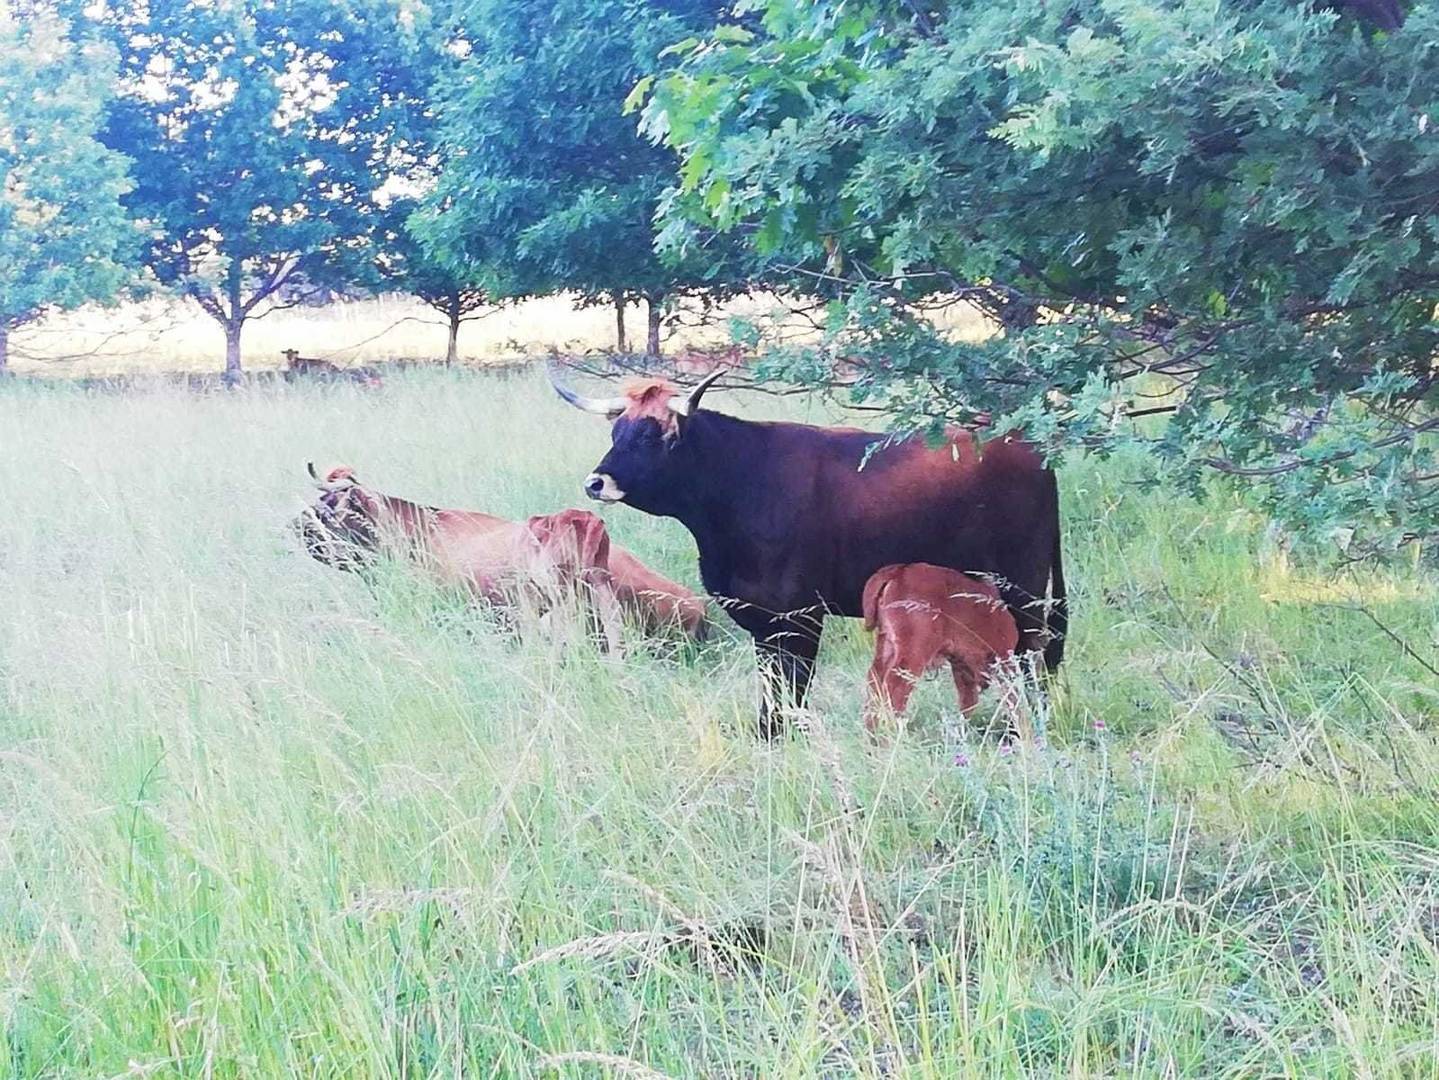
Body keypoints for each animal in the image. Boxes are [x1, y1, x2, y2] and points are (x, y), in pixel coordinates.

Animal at [860, 563, 1020, 734]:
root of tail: (898, 570)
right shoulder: (1003, 658)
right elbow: (1014, 698)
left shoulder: (961, 666)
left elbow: (968, 702)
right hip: (913, 654)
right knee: (894, 689)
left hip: (886, 645)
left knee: (874, 683)